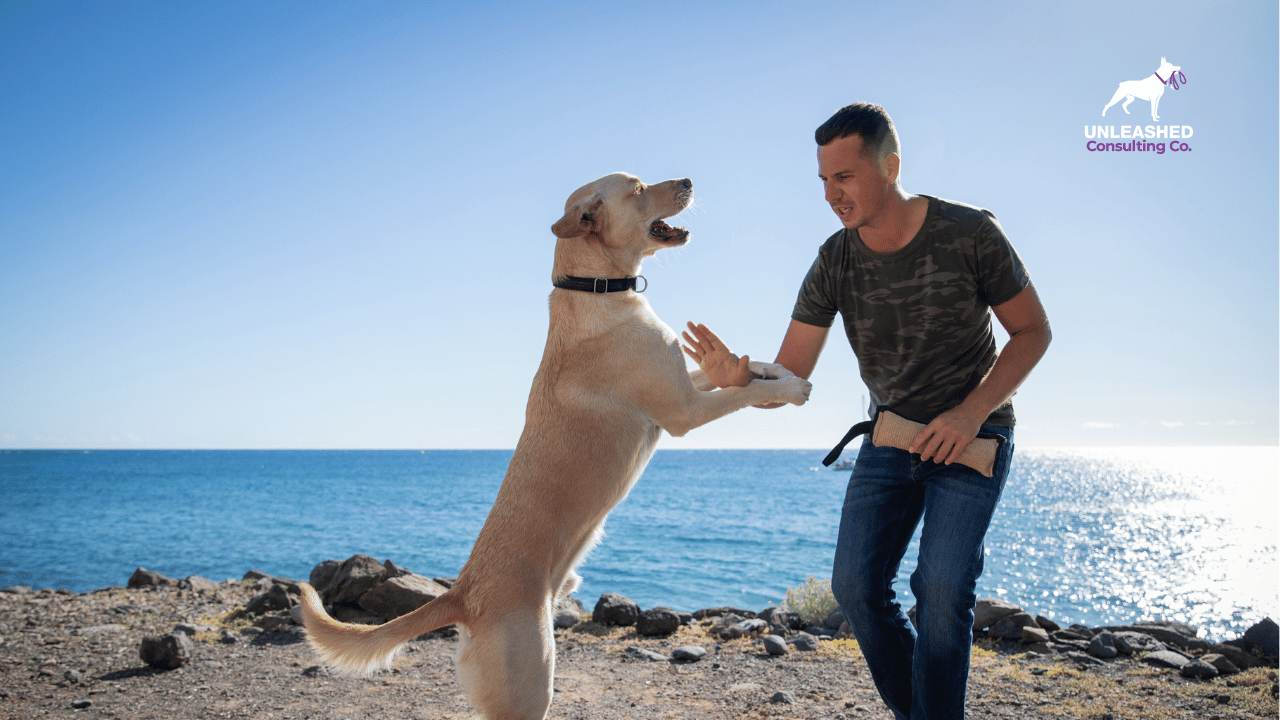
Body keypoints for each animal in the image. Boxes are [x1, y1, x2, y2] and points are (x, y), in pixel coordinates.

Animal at [299, 170, 808, 712]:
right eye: (638, 187)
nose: (689, 179)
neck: (596, 290)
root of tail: (462, 594)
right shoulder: (684, 410)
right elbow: (744, 392)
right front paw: (793, 389)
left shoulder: (684, 382)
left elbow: (740, 374)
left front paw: (775, 369)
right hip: (532, 680)